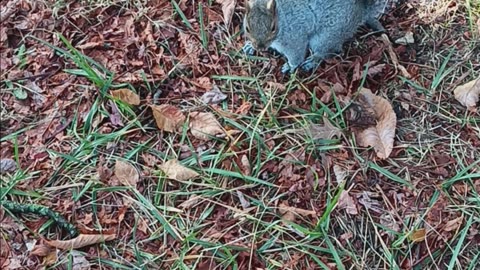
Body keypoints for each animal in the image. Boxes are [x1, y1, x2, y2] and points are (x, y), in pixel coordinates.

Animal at [242, 0, 396, 73]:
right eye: (247, 27)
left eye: (273, 27)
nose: (260, 47)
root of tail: (360, 14)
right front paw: (250, 47)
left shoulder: (295, 39)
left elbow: (296, 55)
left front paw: (291, 66)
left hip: (325, 38)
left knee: (327, 52)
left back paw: (313, 61)